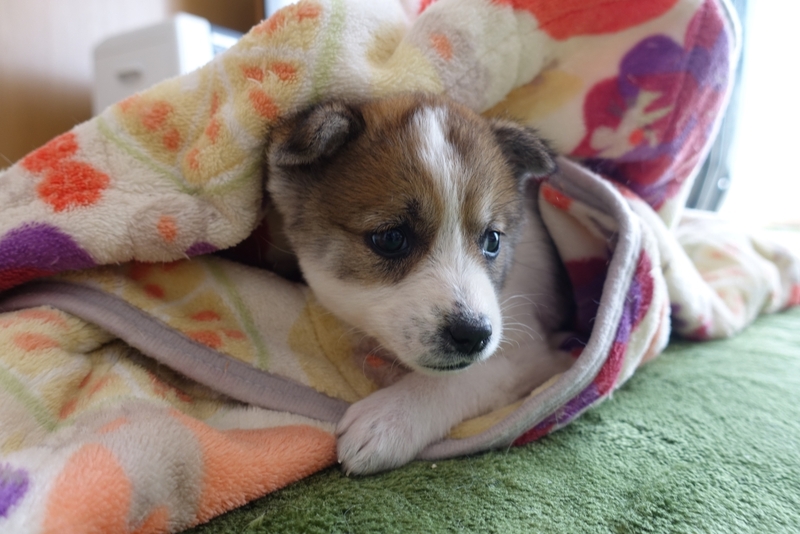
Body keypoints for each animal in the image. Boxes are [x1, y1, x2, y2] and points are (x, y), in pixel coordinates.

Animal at [265, 93, 572, 475]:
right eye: (391, 238)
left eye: (492, 240)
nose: (474, 334)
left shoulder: (535, 354)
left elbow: (469, 376)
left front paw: (389, 419)